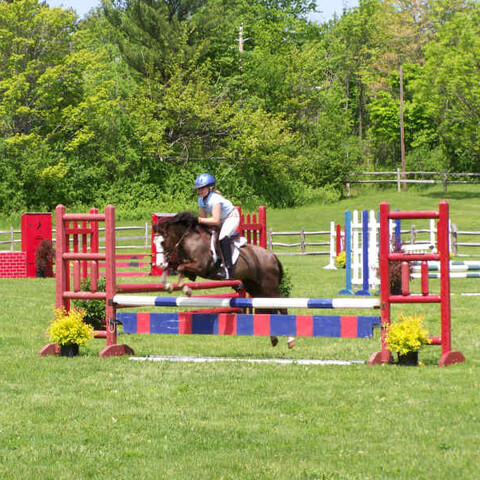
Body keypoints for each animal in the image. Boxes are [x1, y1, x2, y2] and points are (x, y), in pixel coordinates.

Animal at [153, 212, 292, 346]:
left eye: (162, 242)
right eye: (154, 243)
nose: (159, 263)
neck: (190, 240)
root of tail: (272, 255)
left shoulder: (201, 267)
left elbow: (181, 268)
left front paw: (186, 290)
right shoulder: (184, 265)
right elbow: (173, 266)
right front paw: (168, 285)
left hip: (269, 286)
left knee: (281, 306)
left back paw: (290, 340)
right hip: (255, 287)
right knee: (268, 307)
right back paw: (274, 338)